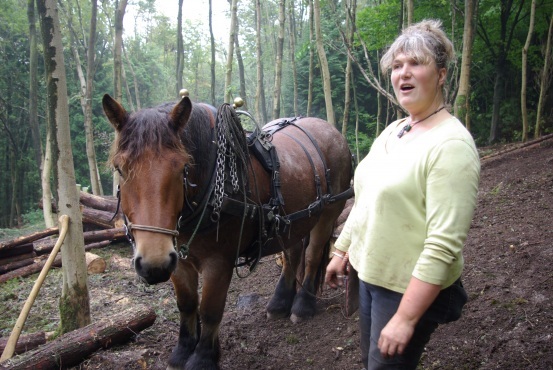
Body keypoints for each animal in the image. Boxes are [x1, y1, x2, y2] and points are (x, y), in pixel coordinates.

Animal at [101, 94, 352, 370]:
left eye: (182, 167)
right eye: (120, 169)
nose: (153, 264)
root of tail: (331, 130)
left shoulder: (219, 261)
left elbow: (210, 310)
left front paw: (203, 358)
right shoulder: (178, 260)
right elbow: (187, 305)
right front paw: (182, 352)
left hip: (328, 213)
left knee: (313, 255)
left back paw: (303, 305)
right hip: (294, 219)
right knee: (293, 254)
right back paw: (279, 303)